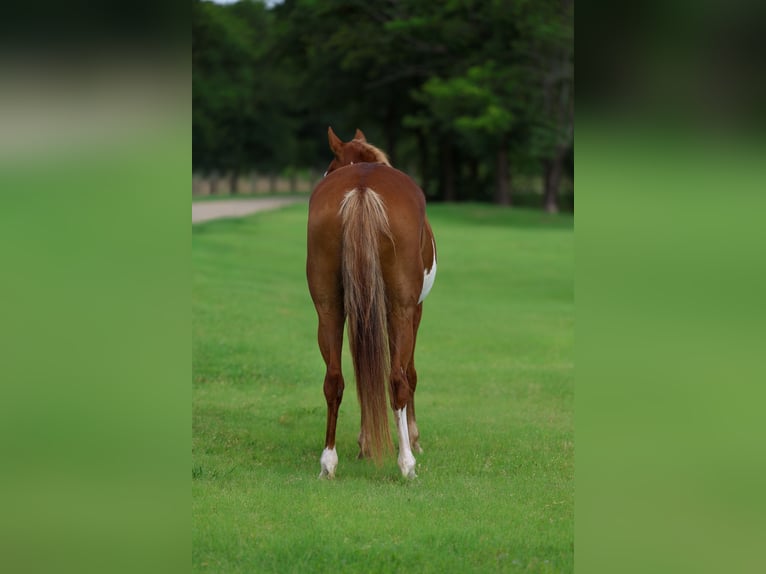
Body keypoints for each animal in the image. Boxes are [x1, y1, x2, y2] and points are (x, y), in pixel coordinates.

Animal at [306, 127, 437, 479]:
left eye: (329, 166)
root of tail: (362, 188)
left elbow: (364, 374)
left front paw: (365, 443)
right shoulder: (415, 311)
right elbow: (409, 373)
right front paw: (414, 439)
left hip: (329, 309)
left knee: (334, 380)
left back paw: (328, 462)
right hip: (401, 310)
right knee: (398, 381)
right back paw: (407, 463)